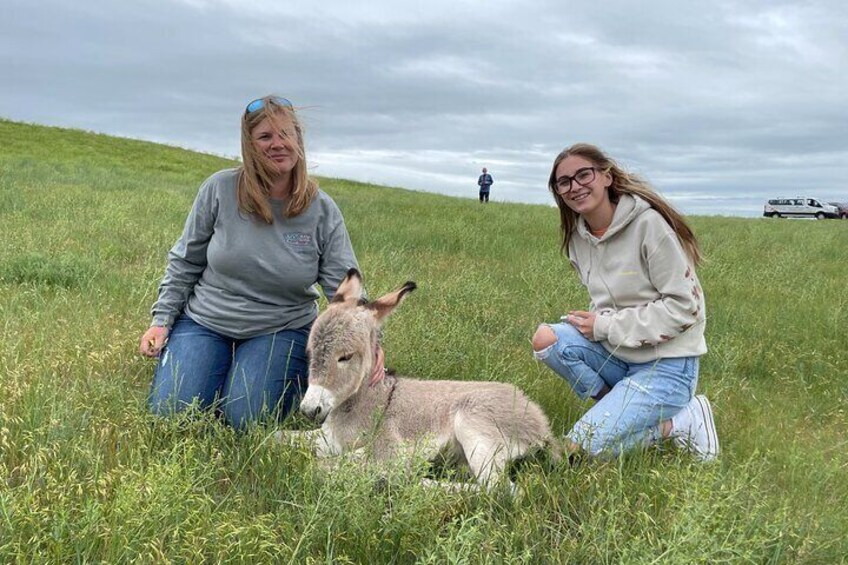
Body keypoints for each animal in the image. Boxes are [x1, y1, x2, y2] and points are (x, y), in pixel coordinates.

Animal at [274, 266, 560, 492]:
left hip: (475, 426)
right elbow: (273, 436)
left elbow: (319, 468)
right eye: (309, 352)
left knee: (501, 491)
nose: (309, 409)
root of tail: (541, 423)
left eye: (345, 356)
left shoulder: (386, 448)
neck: (373, 401)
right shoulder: (326, 439)